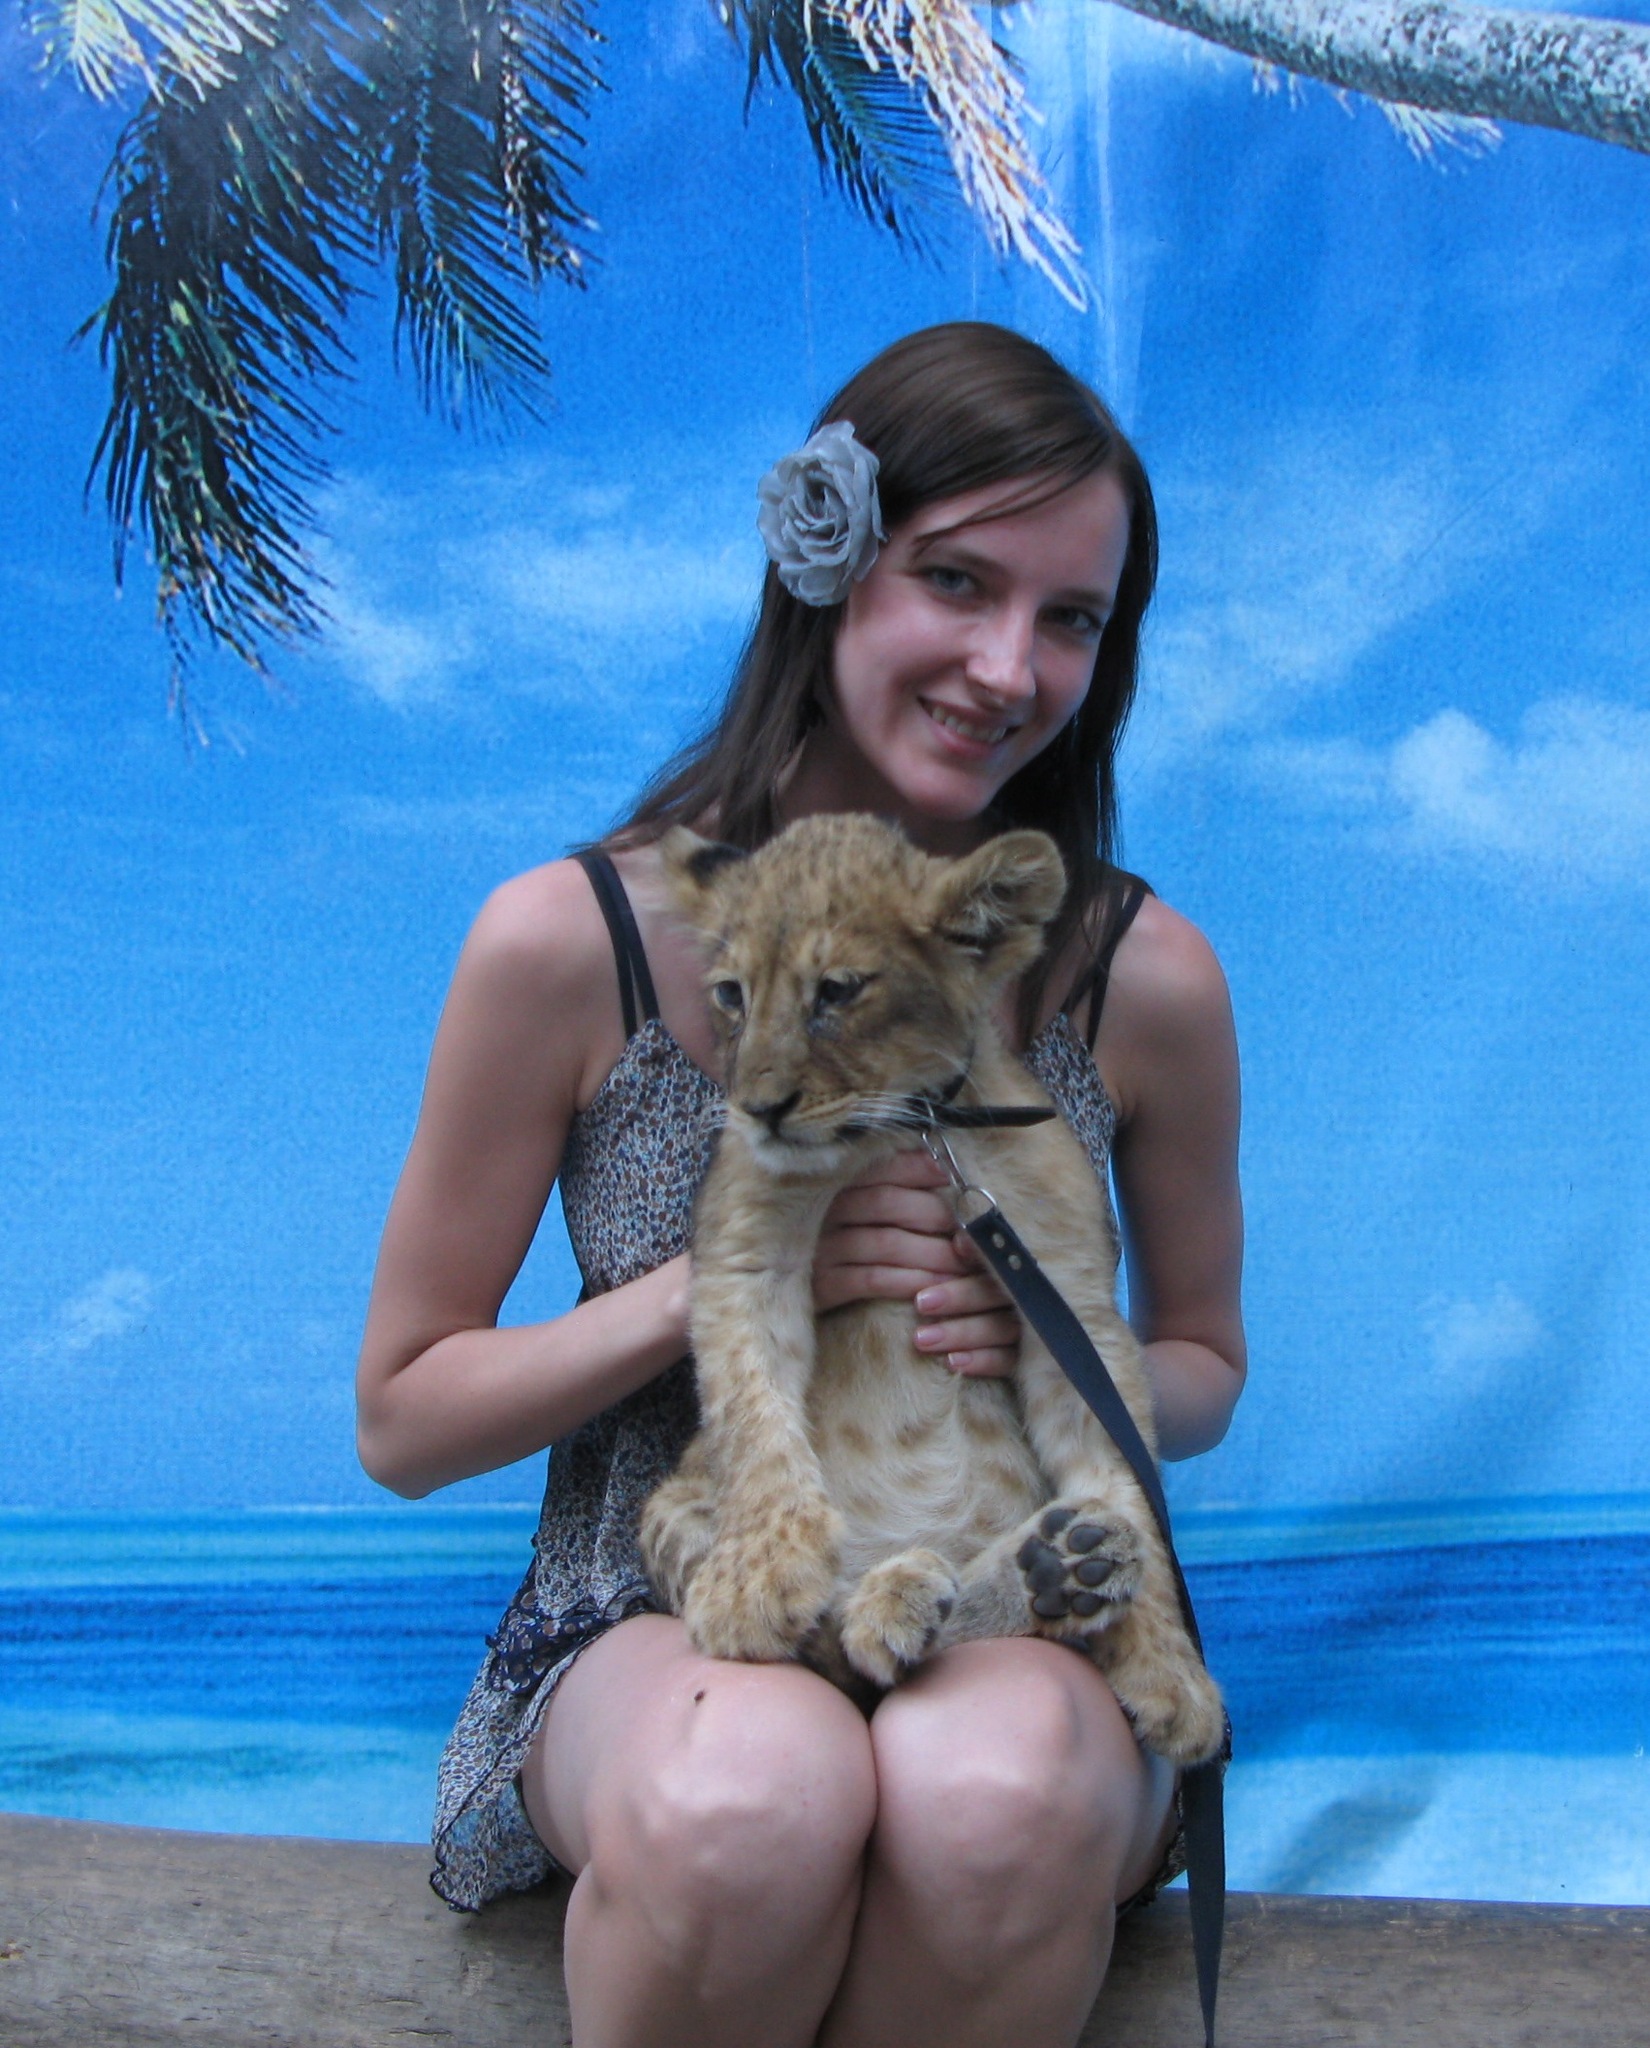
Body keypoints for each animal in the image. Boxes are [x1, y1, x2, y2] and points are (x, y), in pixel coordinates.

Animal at [637, 811, 1225, 1765]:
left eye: (835, 992)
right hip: (674, 1500)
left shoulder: (1067, 1287)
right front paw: (753, 1586)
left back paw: (1064, 1567)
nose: (759, 1108)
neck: (904, 1127)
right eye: (731, 994)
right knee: (841, 1655)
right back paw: (904, 1592)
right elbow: (755, 1424)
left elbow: (1122, 1469)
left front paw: (1168, 1666)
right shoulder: (745, 1260)